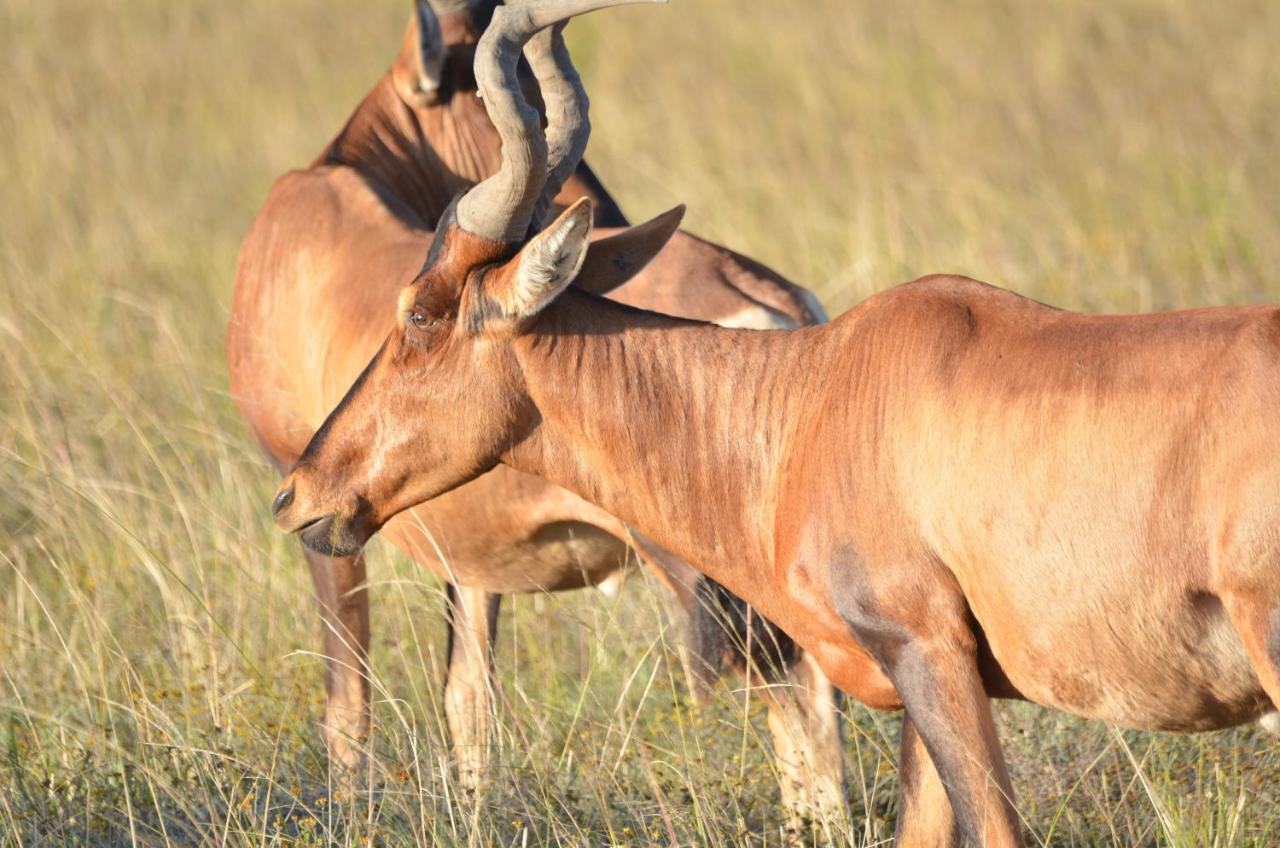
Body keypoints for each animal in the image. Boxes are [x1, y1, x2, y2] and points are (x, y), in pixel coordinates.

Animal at [224, 0, 839, 830]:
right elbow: (468, 705)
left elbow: (348, 708)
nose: (294, 494)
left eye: (418, 312)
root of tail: (772, 303)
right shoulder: (473, 554)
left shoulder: (339, 543)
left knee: (801, 715)